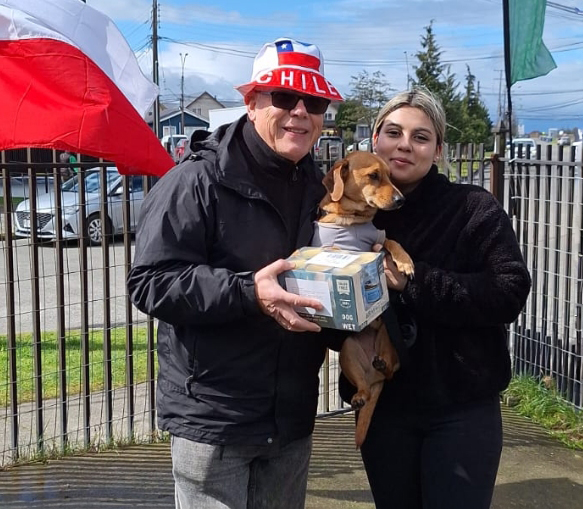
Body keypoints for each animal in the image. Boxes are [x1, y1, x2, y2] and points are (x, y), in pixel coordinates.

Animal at [312, 151, 414, 448]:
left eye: (390, 175)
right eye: (373, 176)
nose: (401, 199)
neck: (351, 220)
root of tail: (374, 375)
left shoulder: (378, 238)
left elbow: (392, 242)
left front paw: (405, 262)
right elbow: (331, 251)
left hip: (388, 342)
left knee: (392, 370)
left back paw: (382, 365)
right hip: (348, 350)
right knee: (365, 390)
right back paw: (360, 395)